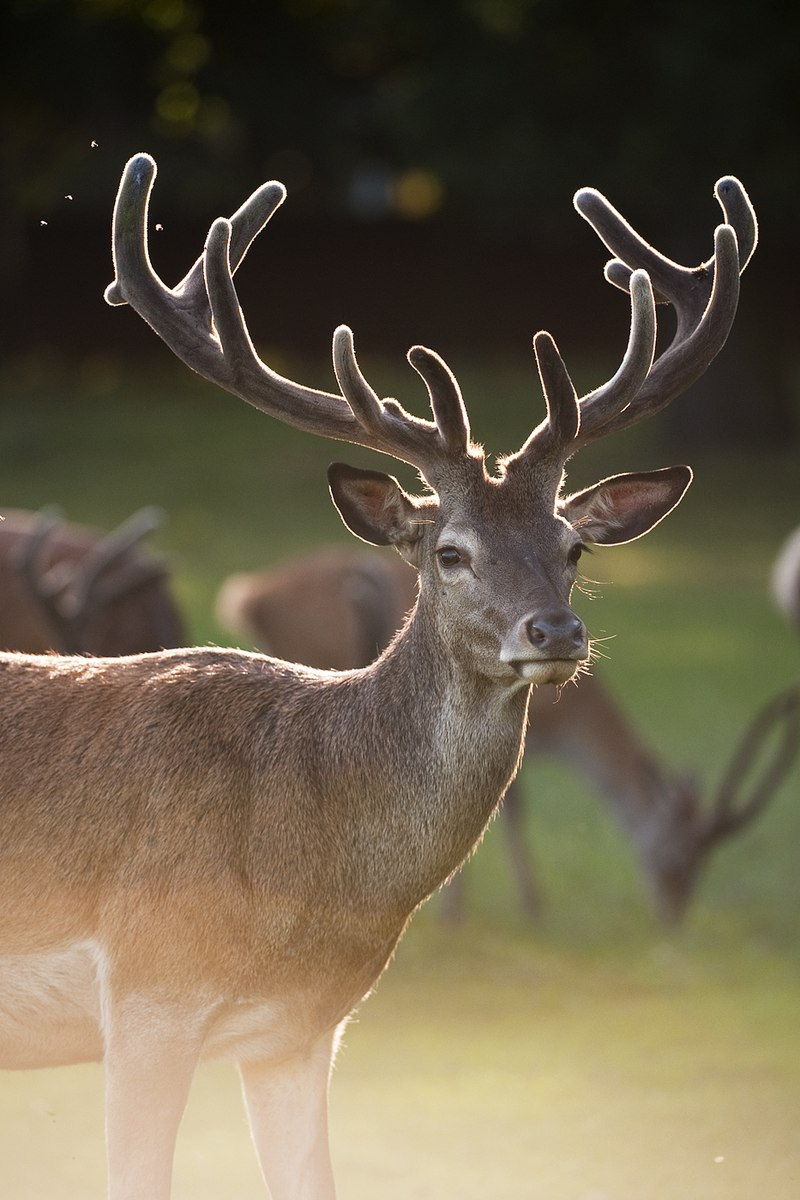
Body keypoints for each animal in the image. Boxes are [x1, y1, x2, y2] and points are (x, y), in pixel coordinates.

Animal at [214, 540, 800, 921]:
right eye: (682, 856)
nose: (675, 913)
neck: (569, 719)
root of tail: (248, 594)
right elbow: (514, 809)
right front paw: (517, 907)